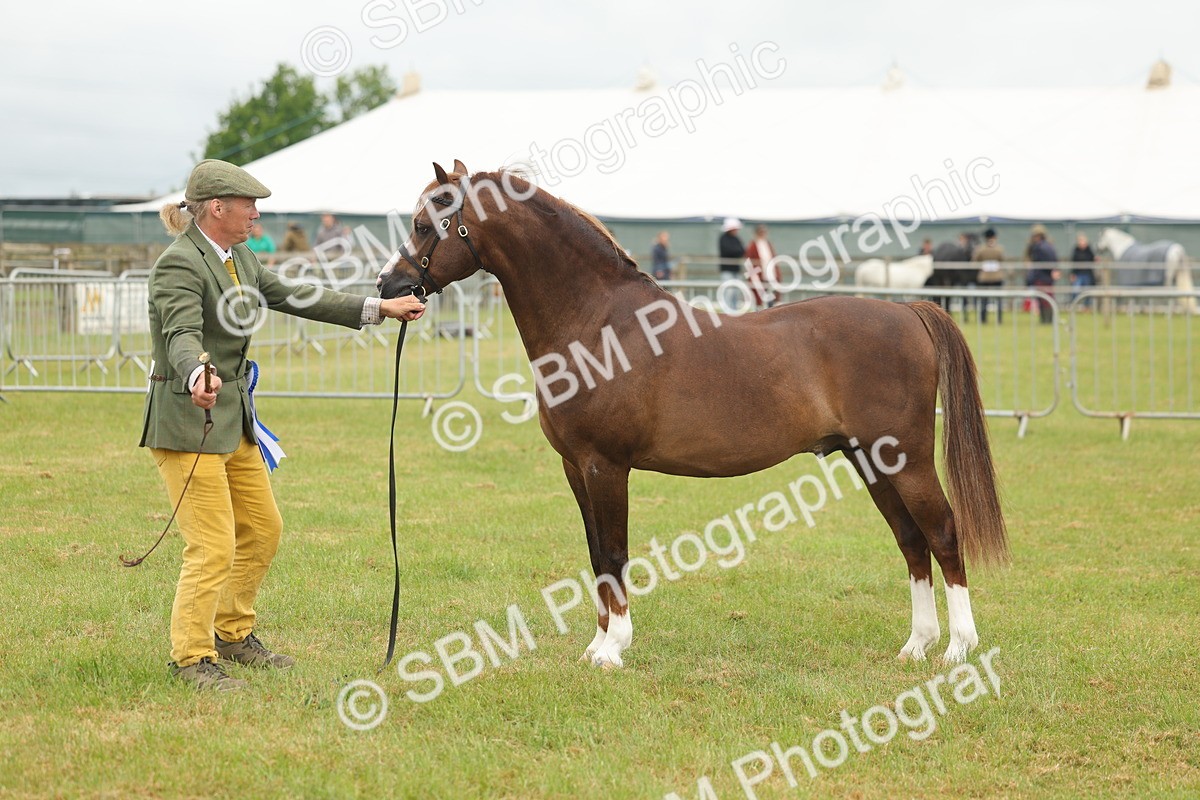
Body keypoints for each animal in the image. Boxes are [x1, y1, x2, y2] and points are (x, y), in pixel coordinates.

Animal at [379, 161, 1009, 669]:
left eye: (425, 224)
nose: (390, 284)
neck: (596, 322)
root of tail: (908, 311)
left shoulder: (606, 466)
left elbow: (614, 552)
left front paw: (613, 649)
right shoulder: (575, 467)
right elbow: (595, 554)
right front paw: (597, 642)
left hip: (906, 459)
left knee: (943, 533)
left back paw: (959, 648)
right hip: (871, 462)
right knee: (911, 541)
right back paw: (916, 645)